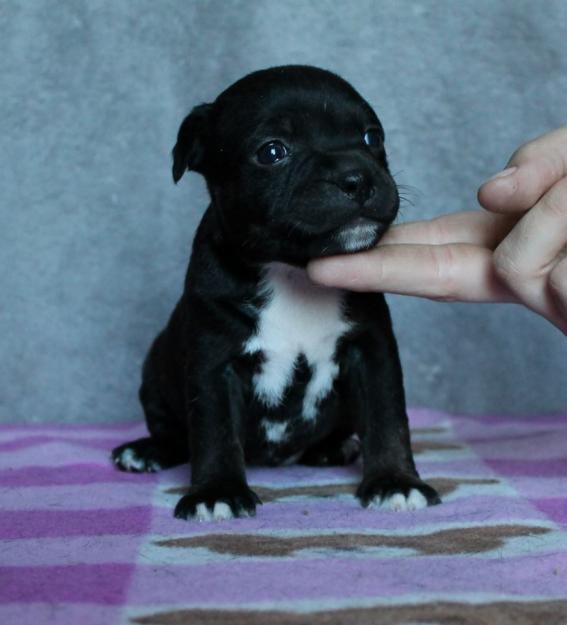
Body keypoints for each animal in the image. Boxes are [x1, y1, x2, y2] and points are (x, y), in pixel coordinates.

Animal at [110, 66, 440, 520]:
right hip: (155, 370)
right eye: (272, 152)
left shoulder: (372, 351)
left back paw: (333, 447)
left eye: (372, 138)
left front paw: (395, 481)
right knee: (172, 430)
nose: (356, 177)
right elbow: (214, 431)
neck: (293, 272)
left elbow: (387, 417)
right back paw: (147, 451)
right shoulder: (214, 362)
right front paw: (216, 492)